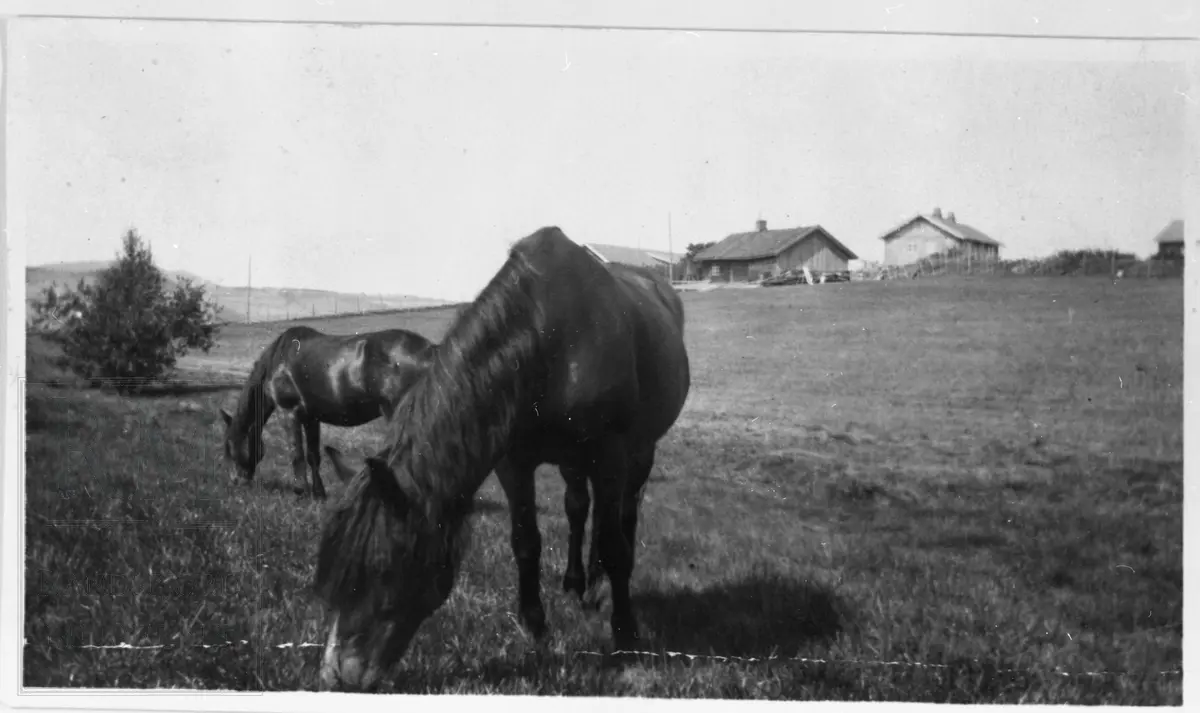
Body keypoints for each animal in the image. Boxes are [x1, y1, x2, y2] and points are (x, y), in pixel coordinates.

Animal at [219, 324, 436, 496]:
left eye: (229, 445)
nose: (235, 481)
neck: (279, 360)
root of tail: (431, 351)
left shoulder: (288, 412)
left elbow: (296, 454)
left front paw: (300, 491)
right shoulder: (311, 418)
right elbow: (313, 456)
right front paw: (319, 493)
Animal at [314, 225, 696, 686]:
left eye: (384, 570)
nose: (336, 676)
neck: (552, 341)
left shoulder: (611, 455)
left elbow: (614, 544)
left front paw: (626, 634)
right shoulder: (513, 463)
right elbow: (525, 540)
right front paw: (534, 624)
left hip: (639, 454)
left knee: (623, 516)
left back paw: (601, 586)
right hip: (574, 462)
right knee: (577, 507)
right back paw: (578, 581)